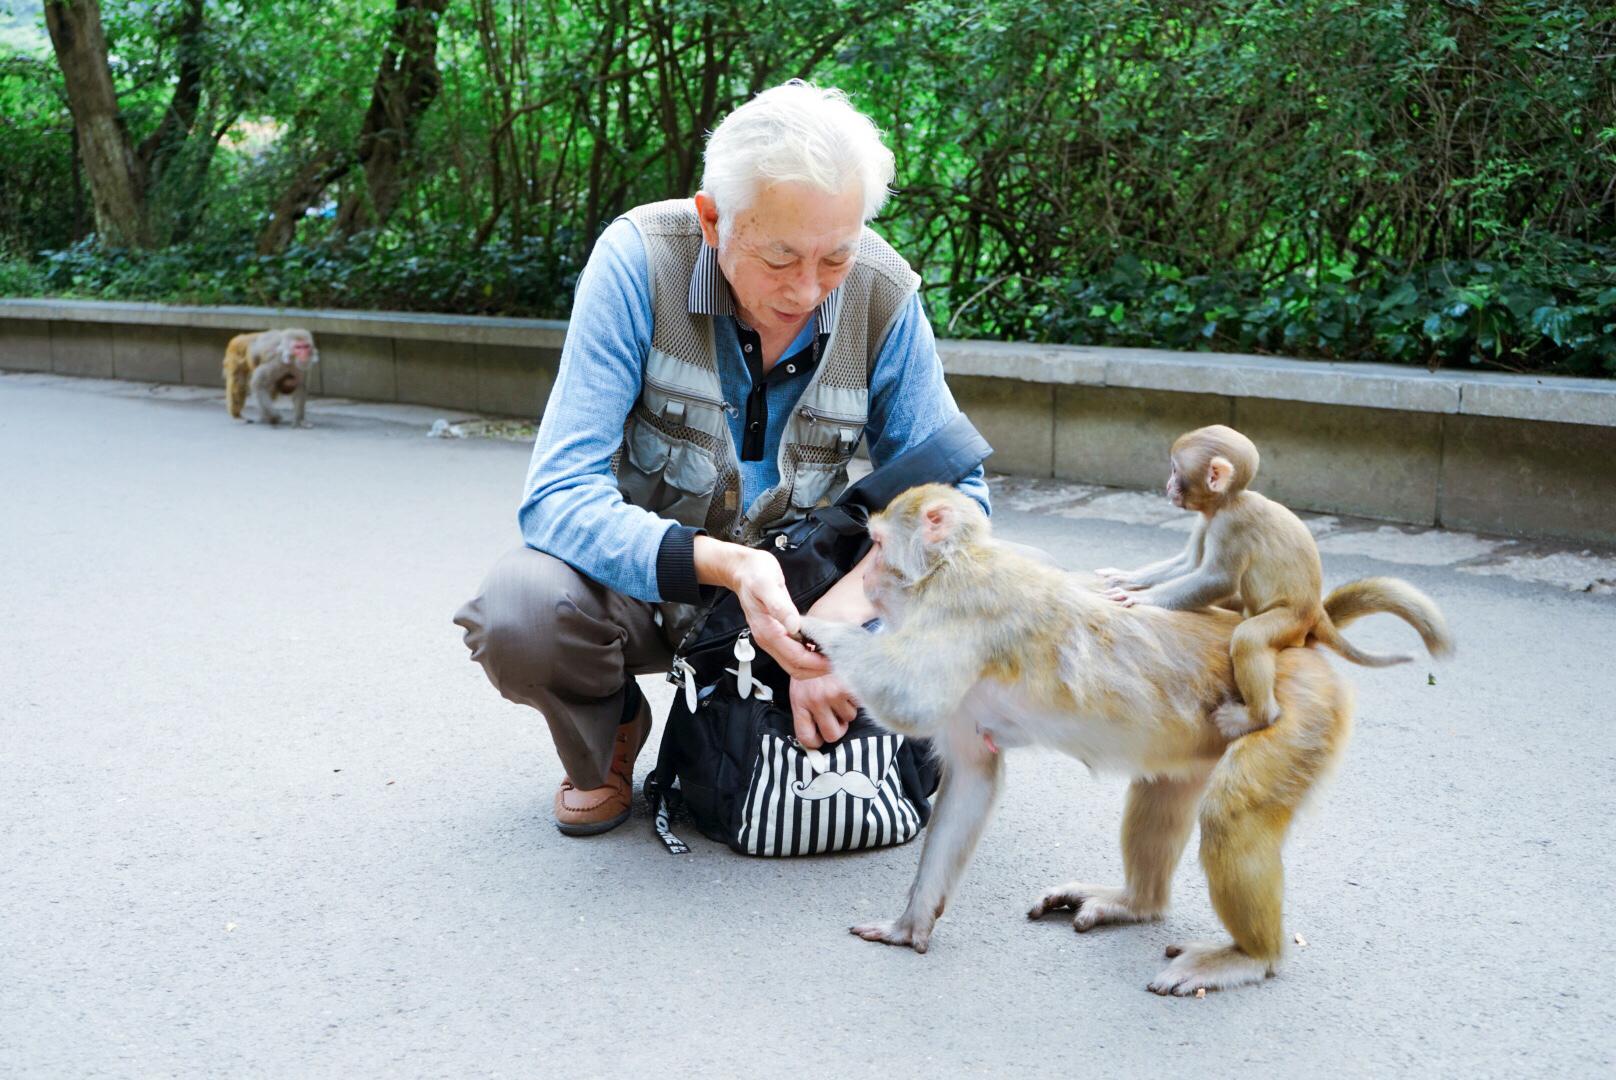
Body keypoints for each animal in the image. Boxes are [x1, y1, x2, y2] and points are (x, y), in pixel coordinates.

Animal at [808, 485, 1454, 989]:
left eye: (878, 547)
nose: (864, 578)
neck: (950, 567)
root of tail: (1300, 640)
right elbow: (972, 778)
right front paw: (909, 925)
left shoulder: (961, 607)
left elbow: (908, 699)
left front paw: (811, 627)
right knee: (1161, 790)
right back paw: (1135, 904)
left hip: (1299, 715)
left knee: (1232, 815)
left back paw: (1250, 957)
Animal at [1098, 426, 1454, 737]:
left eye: (1175, 469)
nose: (1167, 485)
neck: (1227, 501)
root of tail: (1314, 613)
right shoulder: (1207, 519)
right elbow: (1188, 564)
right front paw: (1126, 578)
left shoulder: (1232, 524)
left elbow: (1217, 580)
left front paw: (1142, 598)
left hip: (1289, 622)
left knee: (1249, 638)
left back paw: (1257, 717)